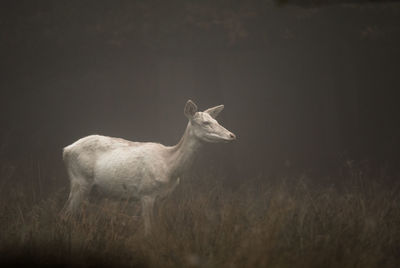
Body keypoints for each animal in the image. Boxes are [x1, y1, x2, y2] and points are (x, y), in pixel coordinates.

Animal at [62, 99, 236, 233]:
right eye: (205, 122)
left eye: (217, 121)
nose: (232, 135)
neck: (170, 167)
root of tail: (67, 150)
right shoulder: (146, 193)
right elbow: (149, 230)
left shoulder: (162, 198)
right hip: (80, 181)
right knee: (66, 213)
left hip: (92, 190)